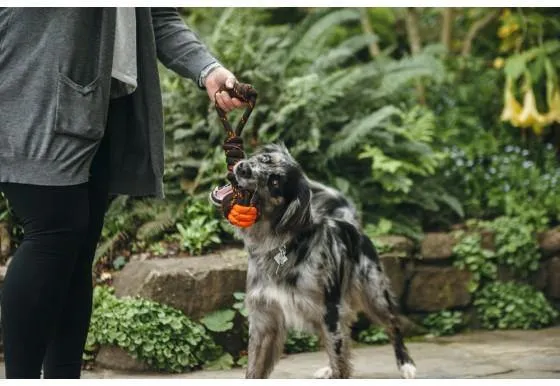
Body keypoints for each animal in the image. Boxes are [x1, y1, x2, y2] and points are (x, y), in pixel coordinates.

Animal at [229, 143, 416, 378]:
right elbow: (254, 369)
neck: (277, 245)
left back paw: (406, 364)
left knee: (393, 326)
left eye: (275, 182)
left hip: (374, 295)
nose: (243, 168)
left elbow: (339, 357)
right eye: (264, 159)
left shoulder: (328, 312)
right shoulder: (264, 318)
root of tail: (350, 223)